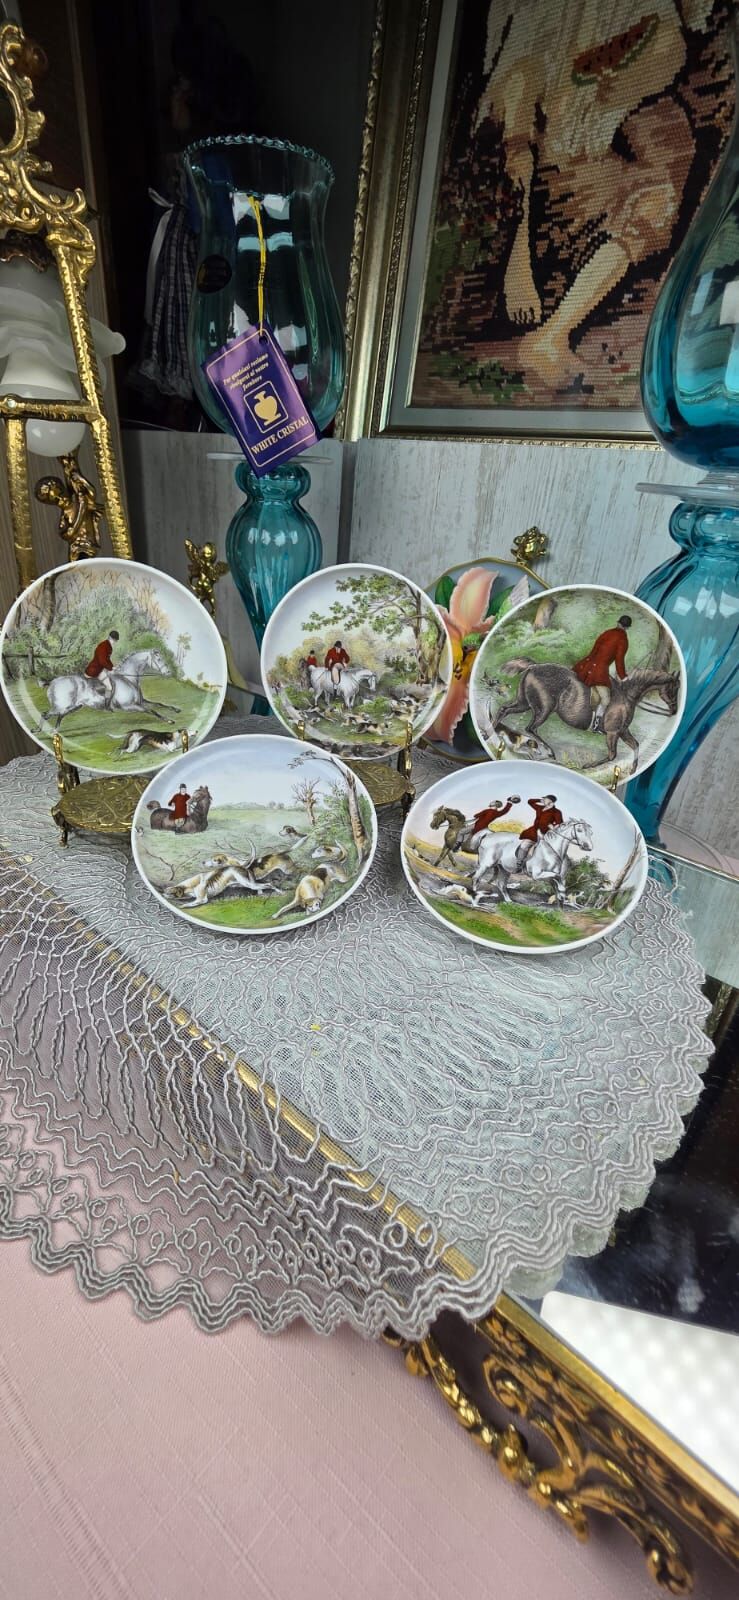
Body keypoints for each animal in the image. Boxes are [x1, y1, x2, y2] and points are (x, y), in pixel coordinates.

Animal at [493, 660, 680, 774]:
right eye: (674, 688)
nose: (675, 710)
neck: (627, 696)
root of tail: (533, 666)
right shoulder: (613, 732)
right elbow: (612, 755)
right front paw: (587, 766)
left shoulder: (622, 731)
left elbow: (636, 745)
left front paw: (633, 769)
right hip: (544, 709)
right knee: (531, 728)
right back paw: (550, 752)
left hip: (523, 703)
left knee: (504, 710)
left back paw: (494, 731)